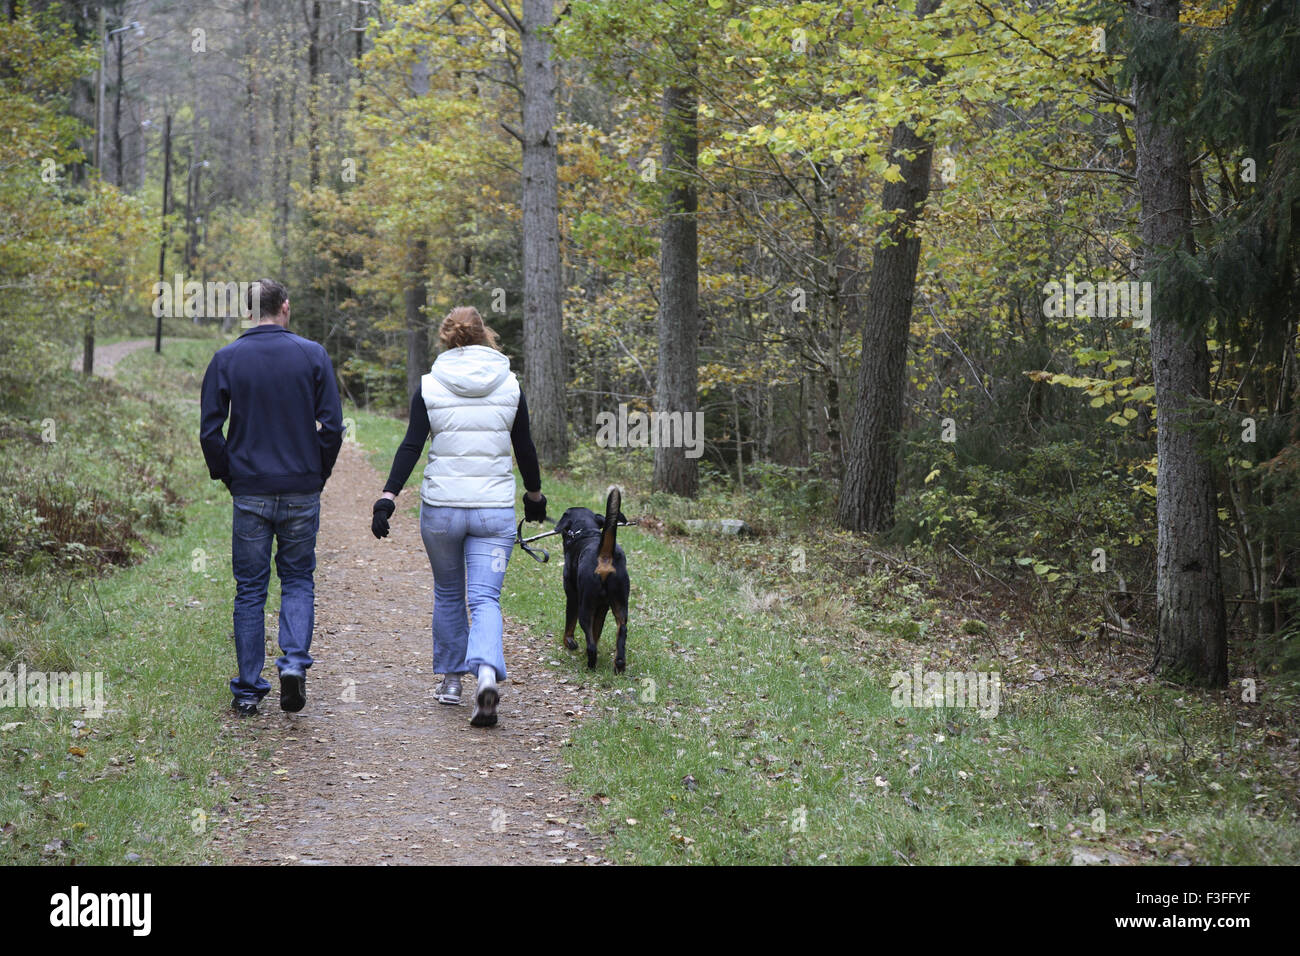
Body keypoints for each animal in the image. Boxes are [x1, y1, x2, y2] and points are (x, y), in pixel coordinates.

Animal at [551, 486, 626, 671]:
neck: (585, 532)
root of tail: (604, 554)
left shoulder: (572, 596)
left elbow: (570, 624)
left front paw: (568, 642)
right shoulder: (603, 607)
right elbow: (596, 631)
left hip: (585, 605)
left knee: (591, 643)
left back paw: (590, 664)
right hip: (620, 605)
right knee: (621, 631)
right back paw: (619, 664)